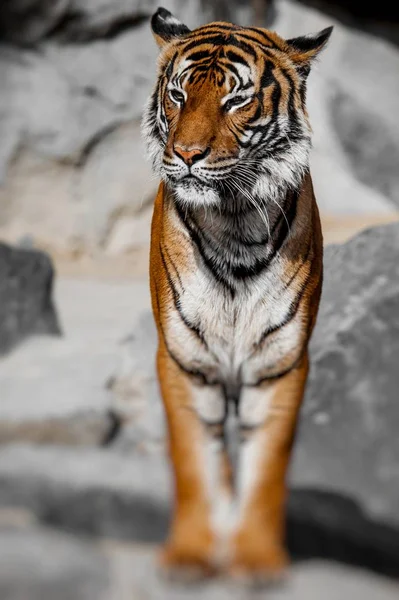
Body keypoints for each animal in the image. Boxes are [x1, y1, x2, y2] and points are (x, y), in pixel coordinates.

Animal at [142, 5, 332, 580]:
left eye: (236, 100)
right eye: (178, 95)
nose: (186, 155)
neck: (234, 223)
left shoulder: (280, 362)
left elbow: (267, 465)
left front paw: (254, 560)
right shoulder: (185, 360)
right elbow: (194, 461)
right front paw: (189, 555)